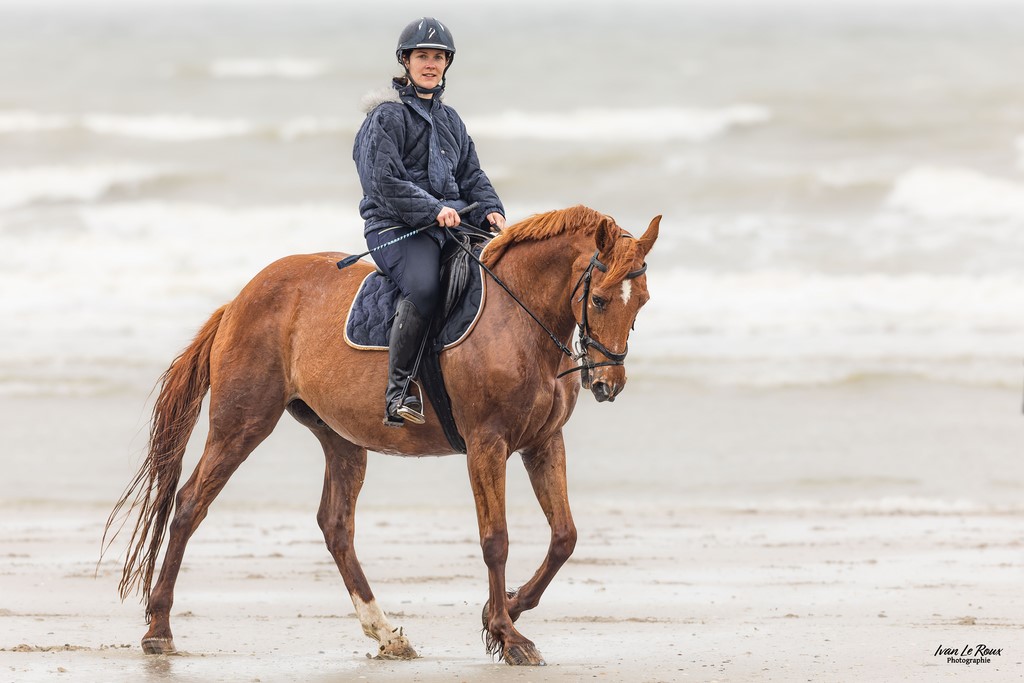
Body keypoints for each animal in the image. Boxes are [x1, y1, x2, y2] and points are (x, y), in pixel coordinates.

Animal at [105, 205, 663, 663]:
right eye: (601, 298)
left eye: (642, 301)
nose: (608, 384)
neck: (518, 318)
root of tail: (239, 300)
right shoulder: (487, 446)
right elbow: (496, 540)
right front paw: (508, 636)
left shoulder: (543, 444)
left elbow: (565, 536)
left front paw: (504, 609)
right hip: (242, 423)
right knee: (190, 504)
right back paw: (158, 628)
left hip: (341, 438)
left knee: (336, 526)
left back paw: (386, 633)